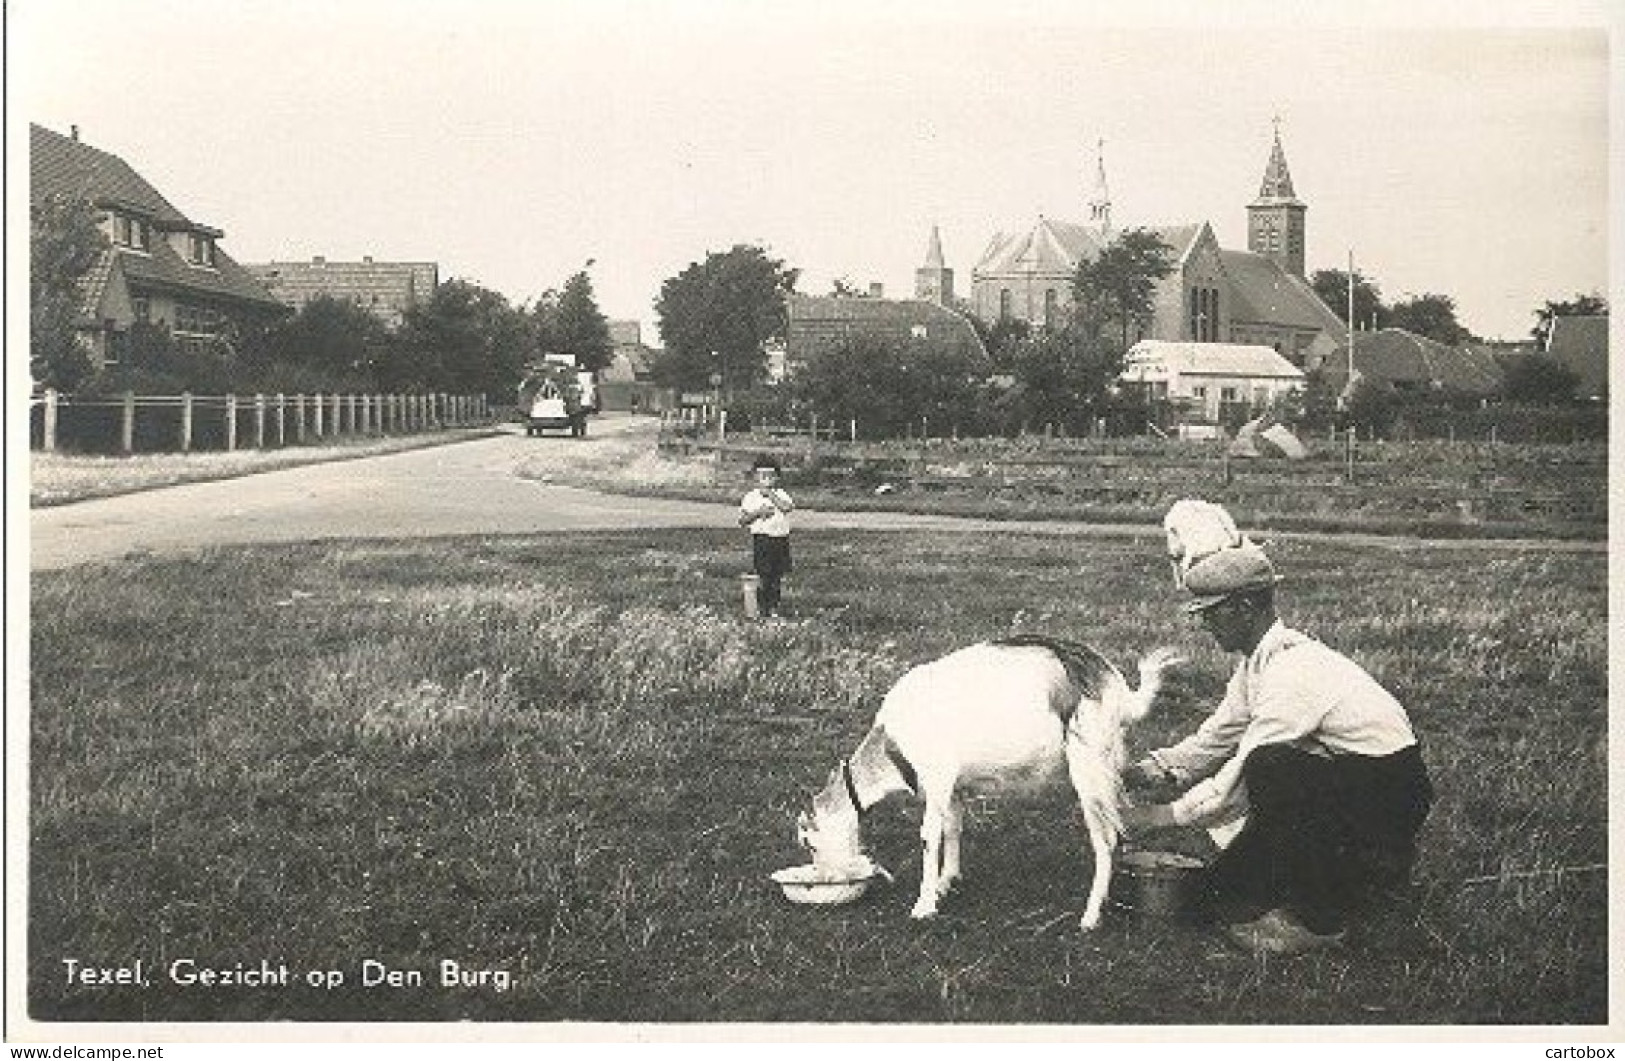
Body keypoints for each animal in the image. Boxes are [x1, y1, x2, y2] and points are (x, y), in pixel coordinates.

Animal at [793, 636, 1176, 929]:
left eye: (809, 843)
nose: (825, 878)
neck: (894, 744)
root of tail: (1119, 690)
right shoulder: (953, 786)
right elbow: (953, 827)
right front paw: (947, 881)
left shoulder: (937, 779)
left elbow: (929, 836)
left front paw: (924, 905)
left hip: (1089, 766)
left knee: (1107, 838)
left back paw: (1091, 916)